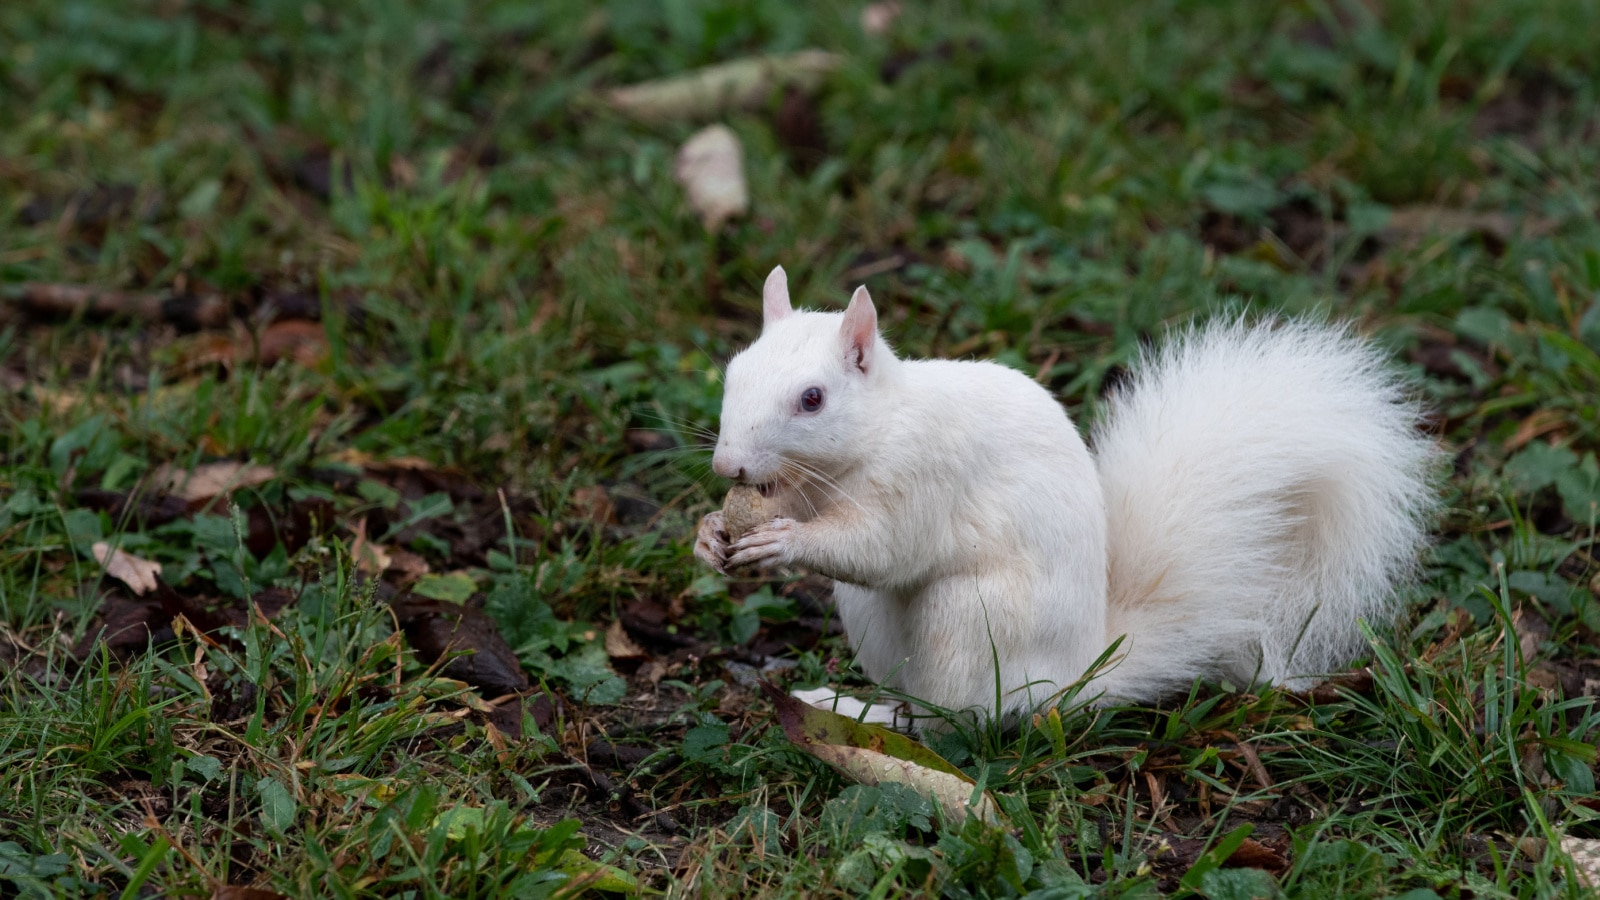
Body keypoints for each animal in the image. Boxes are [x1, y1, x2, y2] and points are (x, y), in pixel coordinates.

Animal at [694, 264, 1446, 720]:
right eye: (732, 371)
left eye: (813, 399)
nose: (728, 463)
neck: (872, 436)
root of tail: (1073, 677)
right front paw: (710, 535)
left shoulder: (928, 474)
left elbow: (886, 547)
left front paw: (783, 543)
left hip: (968, 621)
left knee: (955, 721)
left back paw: (871, 716)